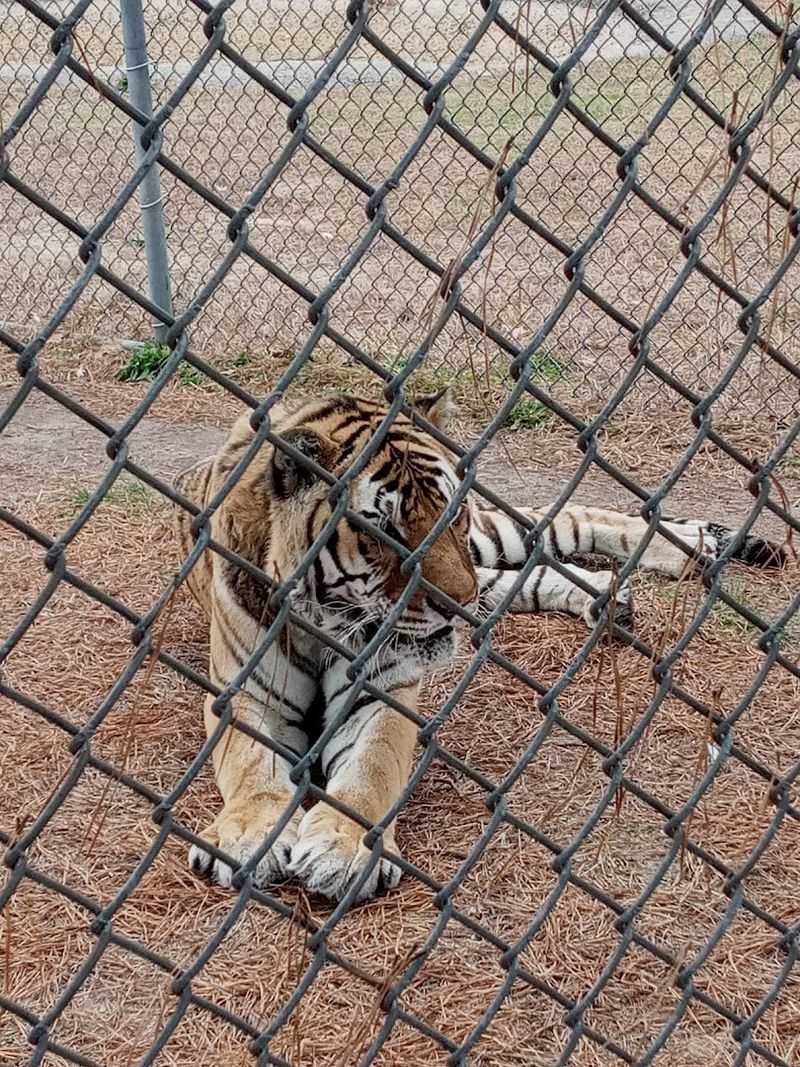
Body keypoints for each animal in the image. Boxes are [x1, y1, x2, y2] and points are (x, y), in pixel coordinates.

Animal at [173, 389, 785, 902]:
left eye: (451, 510)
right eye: (383, 530)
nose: (459, 604)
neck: (327, 622)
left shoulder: (381, 696)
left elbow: (371, 772)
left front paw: (344, 851)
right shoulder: (242, 695)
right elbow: (250, 764)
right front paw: (249, 836)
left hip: (495, 541)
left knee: (575, 518)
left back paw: (693, 546)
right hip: (492, 571)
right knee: (536, 573)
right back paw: (610, 600)